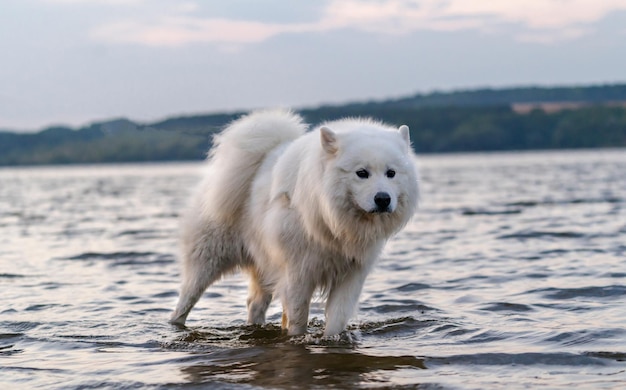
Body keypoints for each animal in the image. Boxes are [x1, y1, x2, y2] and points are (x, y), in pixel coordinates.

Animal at [168, 109, 416, 336]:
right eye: (362, 173)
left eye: (391, 173)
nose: (383, 199)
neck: (332, 223)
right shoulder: (298, 272)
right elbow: (297, 317)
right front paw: (297, 336)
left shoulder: (351, 274)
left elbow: (336, 318)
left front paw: (330, 339)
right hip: (206, 262)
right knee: (184, 301)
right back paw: (175, 322)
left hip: (263, 264)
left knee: (254, 305)